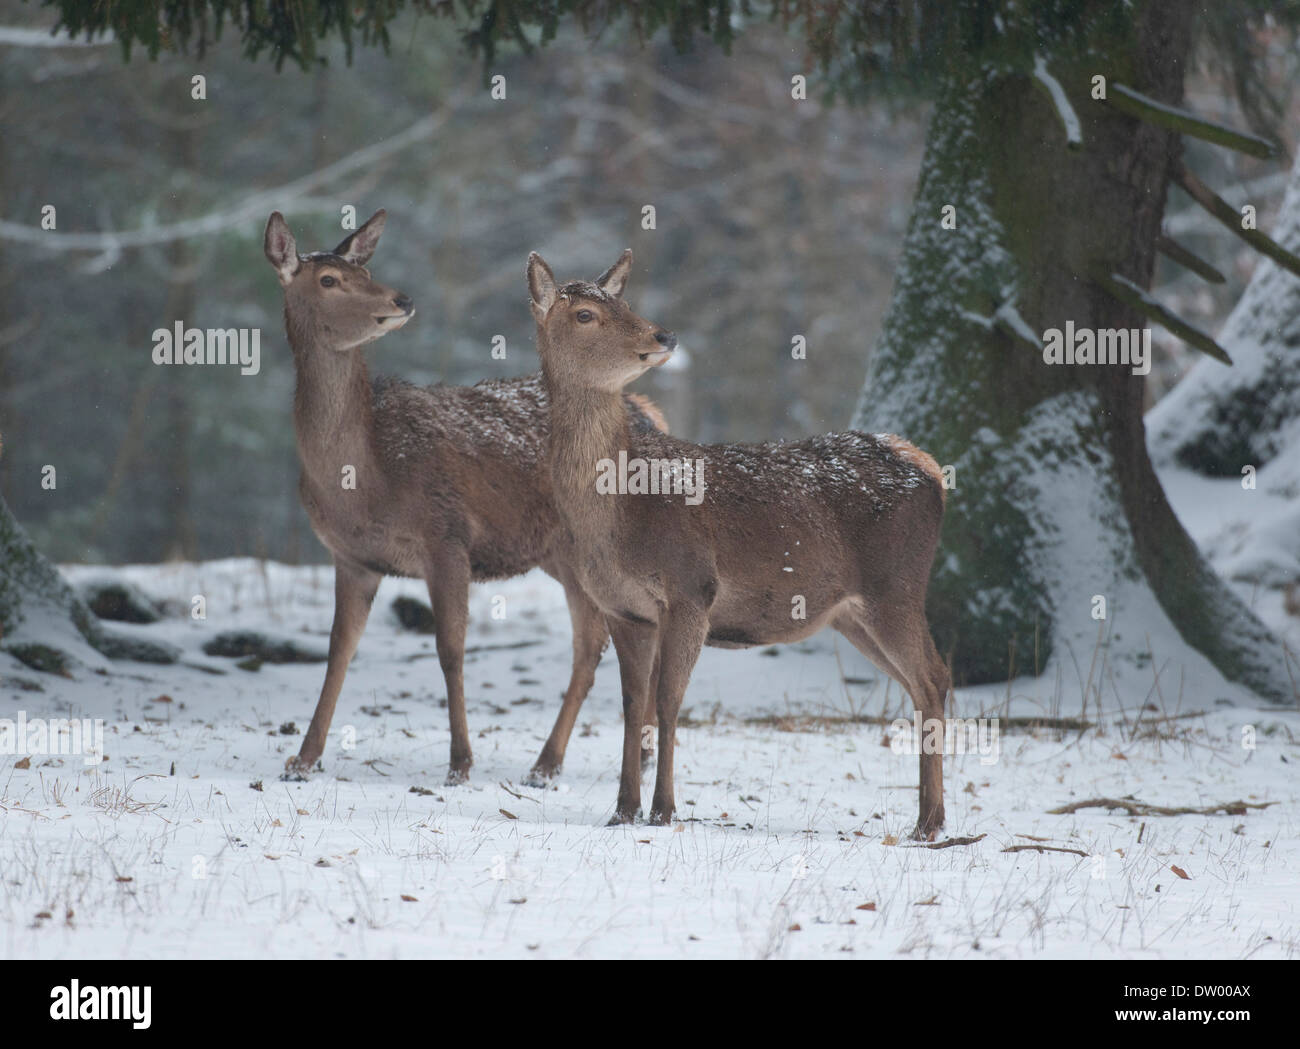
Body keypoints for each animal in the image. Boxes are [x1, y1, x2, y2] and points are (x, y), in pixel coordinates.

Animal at [265, 211, 670, 790]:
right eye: (329, 279)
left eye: (367, 271)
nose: (401, 300)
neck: (363, 477)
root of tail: (648, 411)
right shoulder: (352, 556)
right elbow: (338, 651)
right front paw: (302, 759)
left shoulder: (447, 536)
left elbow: (450, 651)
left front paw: (460, 762)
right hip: (562, 557)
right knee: (596, 642)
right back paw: (576, 759)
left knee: (601, 640)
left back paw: (559, 761)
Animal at [530, 250, 956, 842]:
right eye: (586, 314)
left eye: (626, 301)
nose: (663, 335)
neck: (619, 514)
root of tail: (932, 470)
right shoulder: (624, 609)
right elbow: (633, 706)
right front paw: (621, 810)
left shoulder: (692, 588)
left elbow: (668, 703)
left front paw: (663, 810)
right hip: (853, 614)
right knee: (921, 685)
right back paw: (927, 819)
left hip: (897, 587)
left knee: (935, 677)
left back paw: (928, 823)